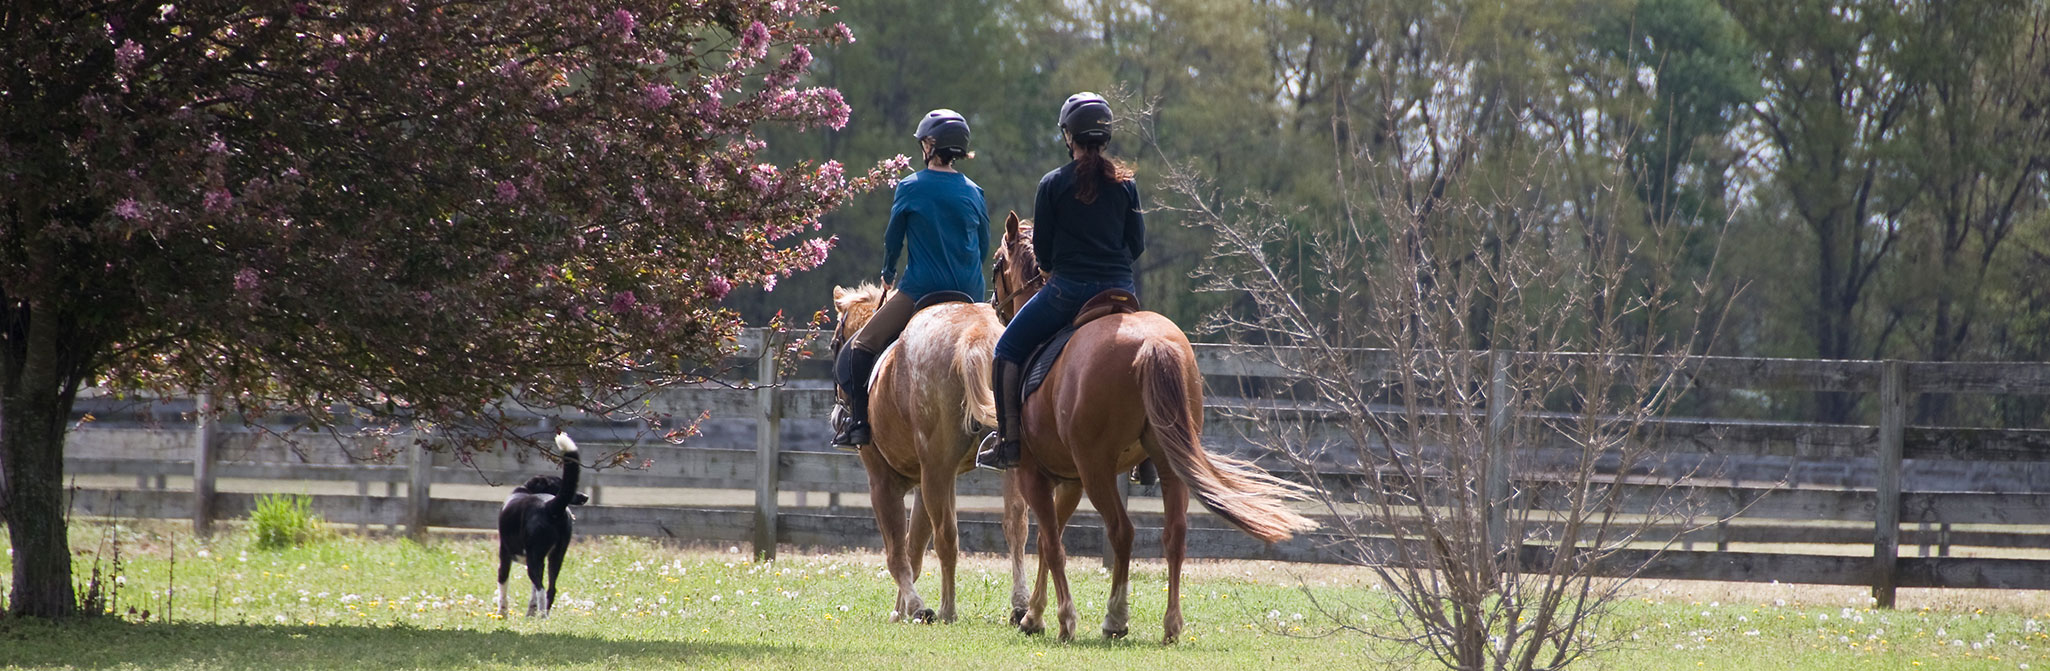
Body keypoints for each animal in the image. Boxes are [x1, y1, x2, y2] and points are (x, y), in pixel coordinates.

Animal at [496, 431, 587, 618]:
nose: (585, 497)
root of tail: (549, 506)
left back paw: (541, 616)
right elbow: (532, 593)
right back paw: (542, 617)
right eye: (557, 485)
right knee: (550, 589)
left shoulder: (505, 555)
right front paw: (530, 612)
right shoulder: (543, 561)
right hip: (556, 556)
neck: (526, 490)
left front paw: (502, 614)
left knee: (541, 589)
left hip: (533, 559)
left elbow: (503, 586)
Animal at [830, 284, 1031, 624]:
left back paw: (948, 609)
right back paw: (1020, 604)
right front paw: (900, 610)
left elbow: (897, 552)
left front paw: (912, 606)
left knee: (947, 537)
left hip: (937, 470)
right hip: (1004, 465)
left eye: (834, 345)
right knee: (1015, 524)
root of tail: (976, 331)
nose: (837, 417)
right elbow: (914, 550)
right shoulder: (925, 484)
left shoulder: (883, 482)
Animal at [990, 212, 1318, 644]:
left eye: (997, 263)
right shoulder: (1069, 482)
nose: (994, 305)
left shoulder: (1037, 476)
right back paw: (1172, 625)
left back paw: (1115, 618)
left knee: (1122, 532)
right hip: (1167, 463)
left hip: (1097, 470)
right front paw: (1034, 615)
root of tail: (1152, 342)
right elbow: (1049, 540)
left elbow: (1052, 544)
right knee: (1174, 533)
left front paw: (1058, 619)